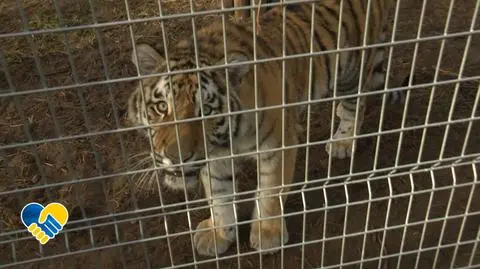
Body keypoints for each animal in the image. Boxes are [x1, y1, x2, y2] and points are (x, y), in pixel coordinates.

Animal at [126, 0, 394, 255]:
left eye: (206, 110)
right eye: (161, 106)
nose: (176, 158)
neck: (229, 138)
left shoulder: (277, 146)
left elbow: (270, 192)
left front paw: (267, 235)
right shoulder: (214, 157)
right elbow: (219, 195)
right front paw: (219, 234)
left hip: (353, 68)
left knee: (356, 102)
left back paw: (342, 140)